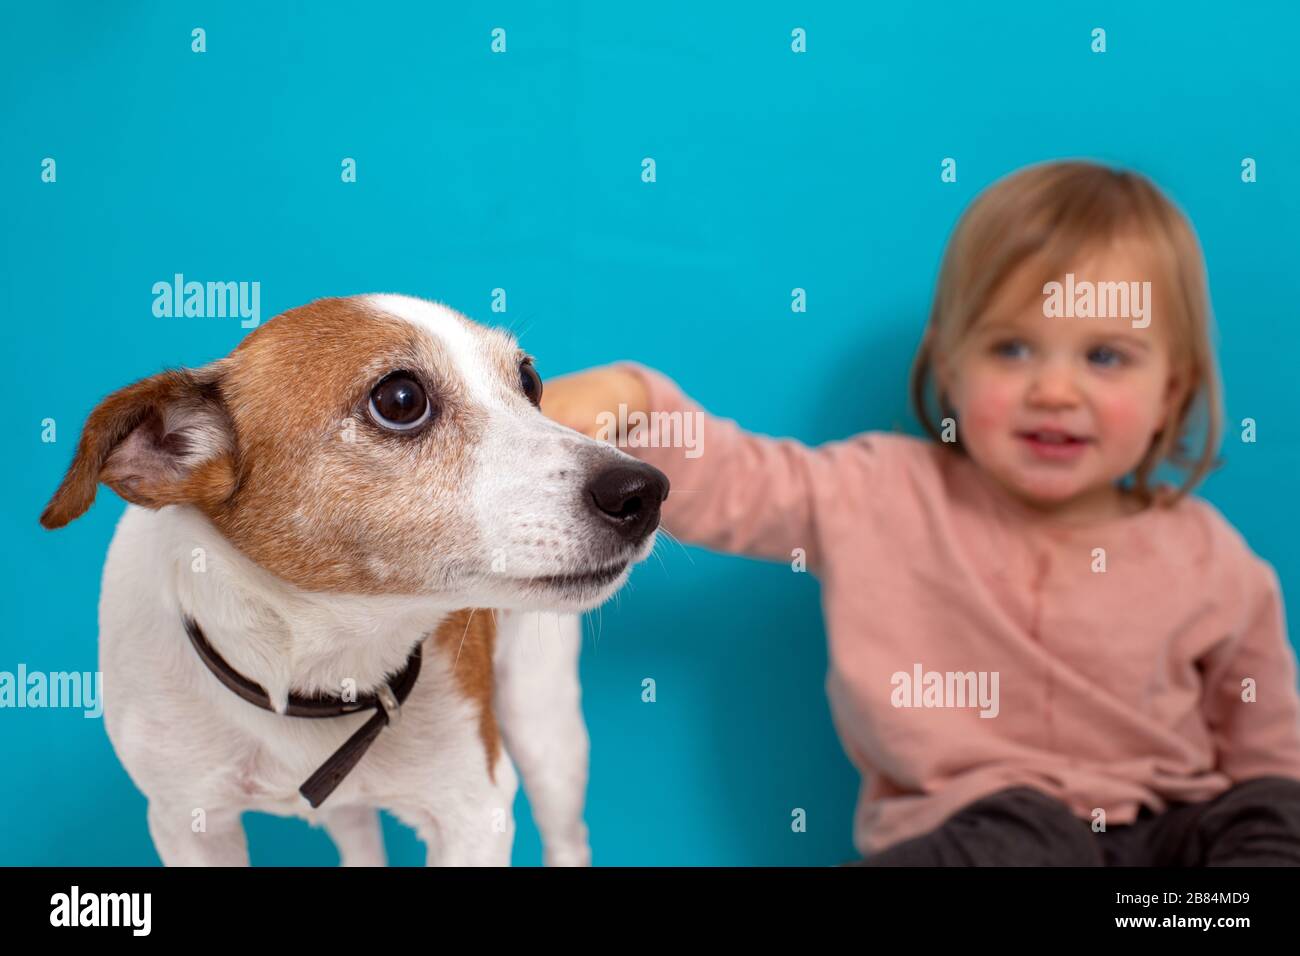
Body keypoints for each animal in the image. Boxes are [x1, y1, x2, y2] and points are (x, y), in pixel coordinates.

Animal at [38, 291, 670, 868]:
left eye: (529, 380)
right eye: (400, 399)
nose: (645, 491)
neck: (314, 669)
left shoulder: (474, 813)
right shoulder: (187, 824)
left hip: (546, 729)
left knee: (568, 836)